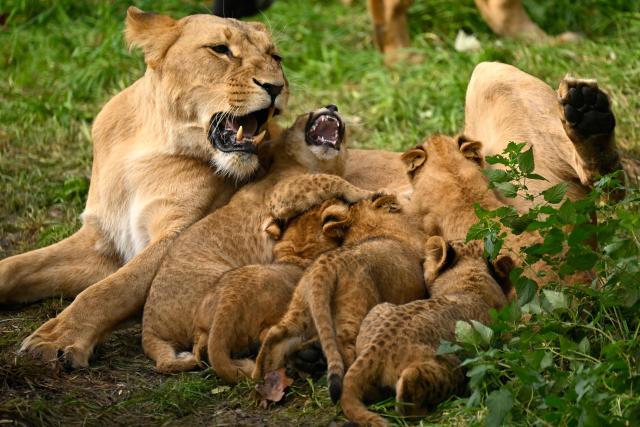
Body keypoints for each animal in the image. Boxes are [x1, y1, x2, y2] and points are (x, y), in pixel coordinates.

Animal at [8, 7, 289, 368]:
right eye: (221, 50)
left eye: (275, 57)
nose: (276, 87)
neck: (153, 146)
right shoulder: (103, 241)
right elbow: (18, 266)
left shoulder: (182, 236)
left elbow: (111, 289)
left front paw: (57, 338)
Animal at [141, 106, 374, 374]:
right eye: (306, 114)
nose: (332, 106)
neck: (309, 163)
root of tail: (148, 330)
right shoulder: (281, 193)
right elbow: (329, 180)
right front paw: (366, 192)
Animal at [253, 194, 428, 402]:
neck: (369, 227)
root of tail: (326, 265)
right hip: (355, 307)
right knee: (346, 348)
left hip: (300, 308)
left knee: (275, 334)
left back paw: (261, 374)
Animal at [339, 237, 513, 427]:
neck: (470, 271)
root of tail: (376, 348)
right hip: (452, 366)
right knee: (409, 389)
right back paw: (420, 412)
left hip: (379, 308)